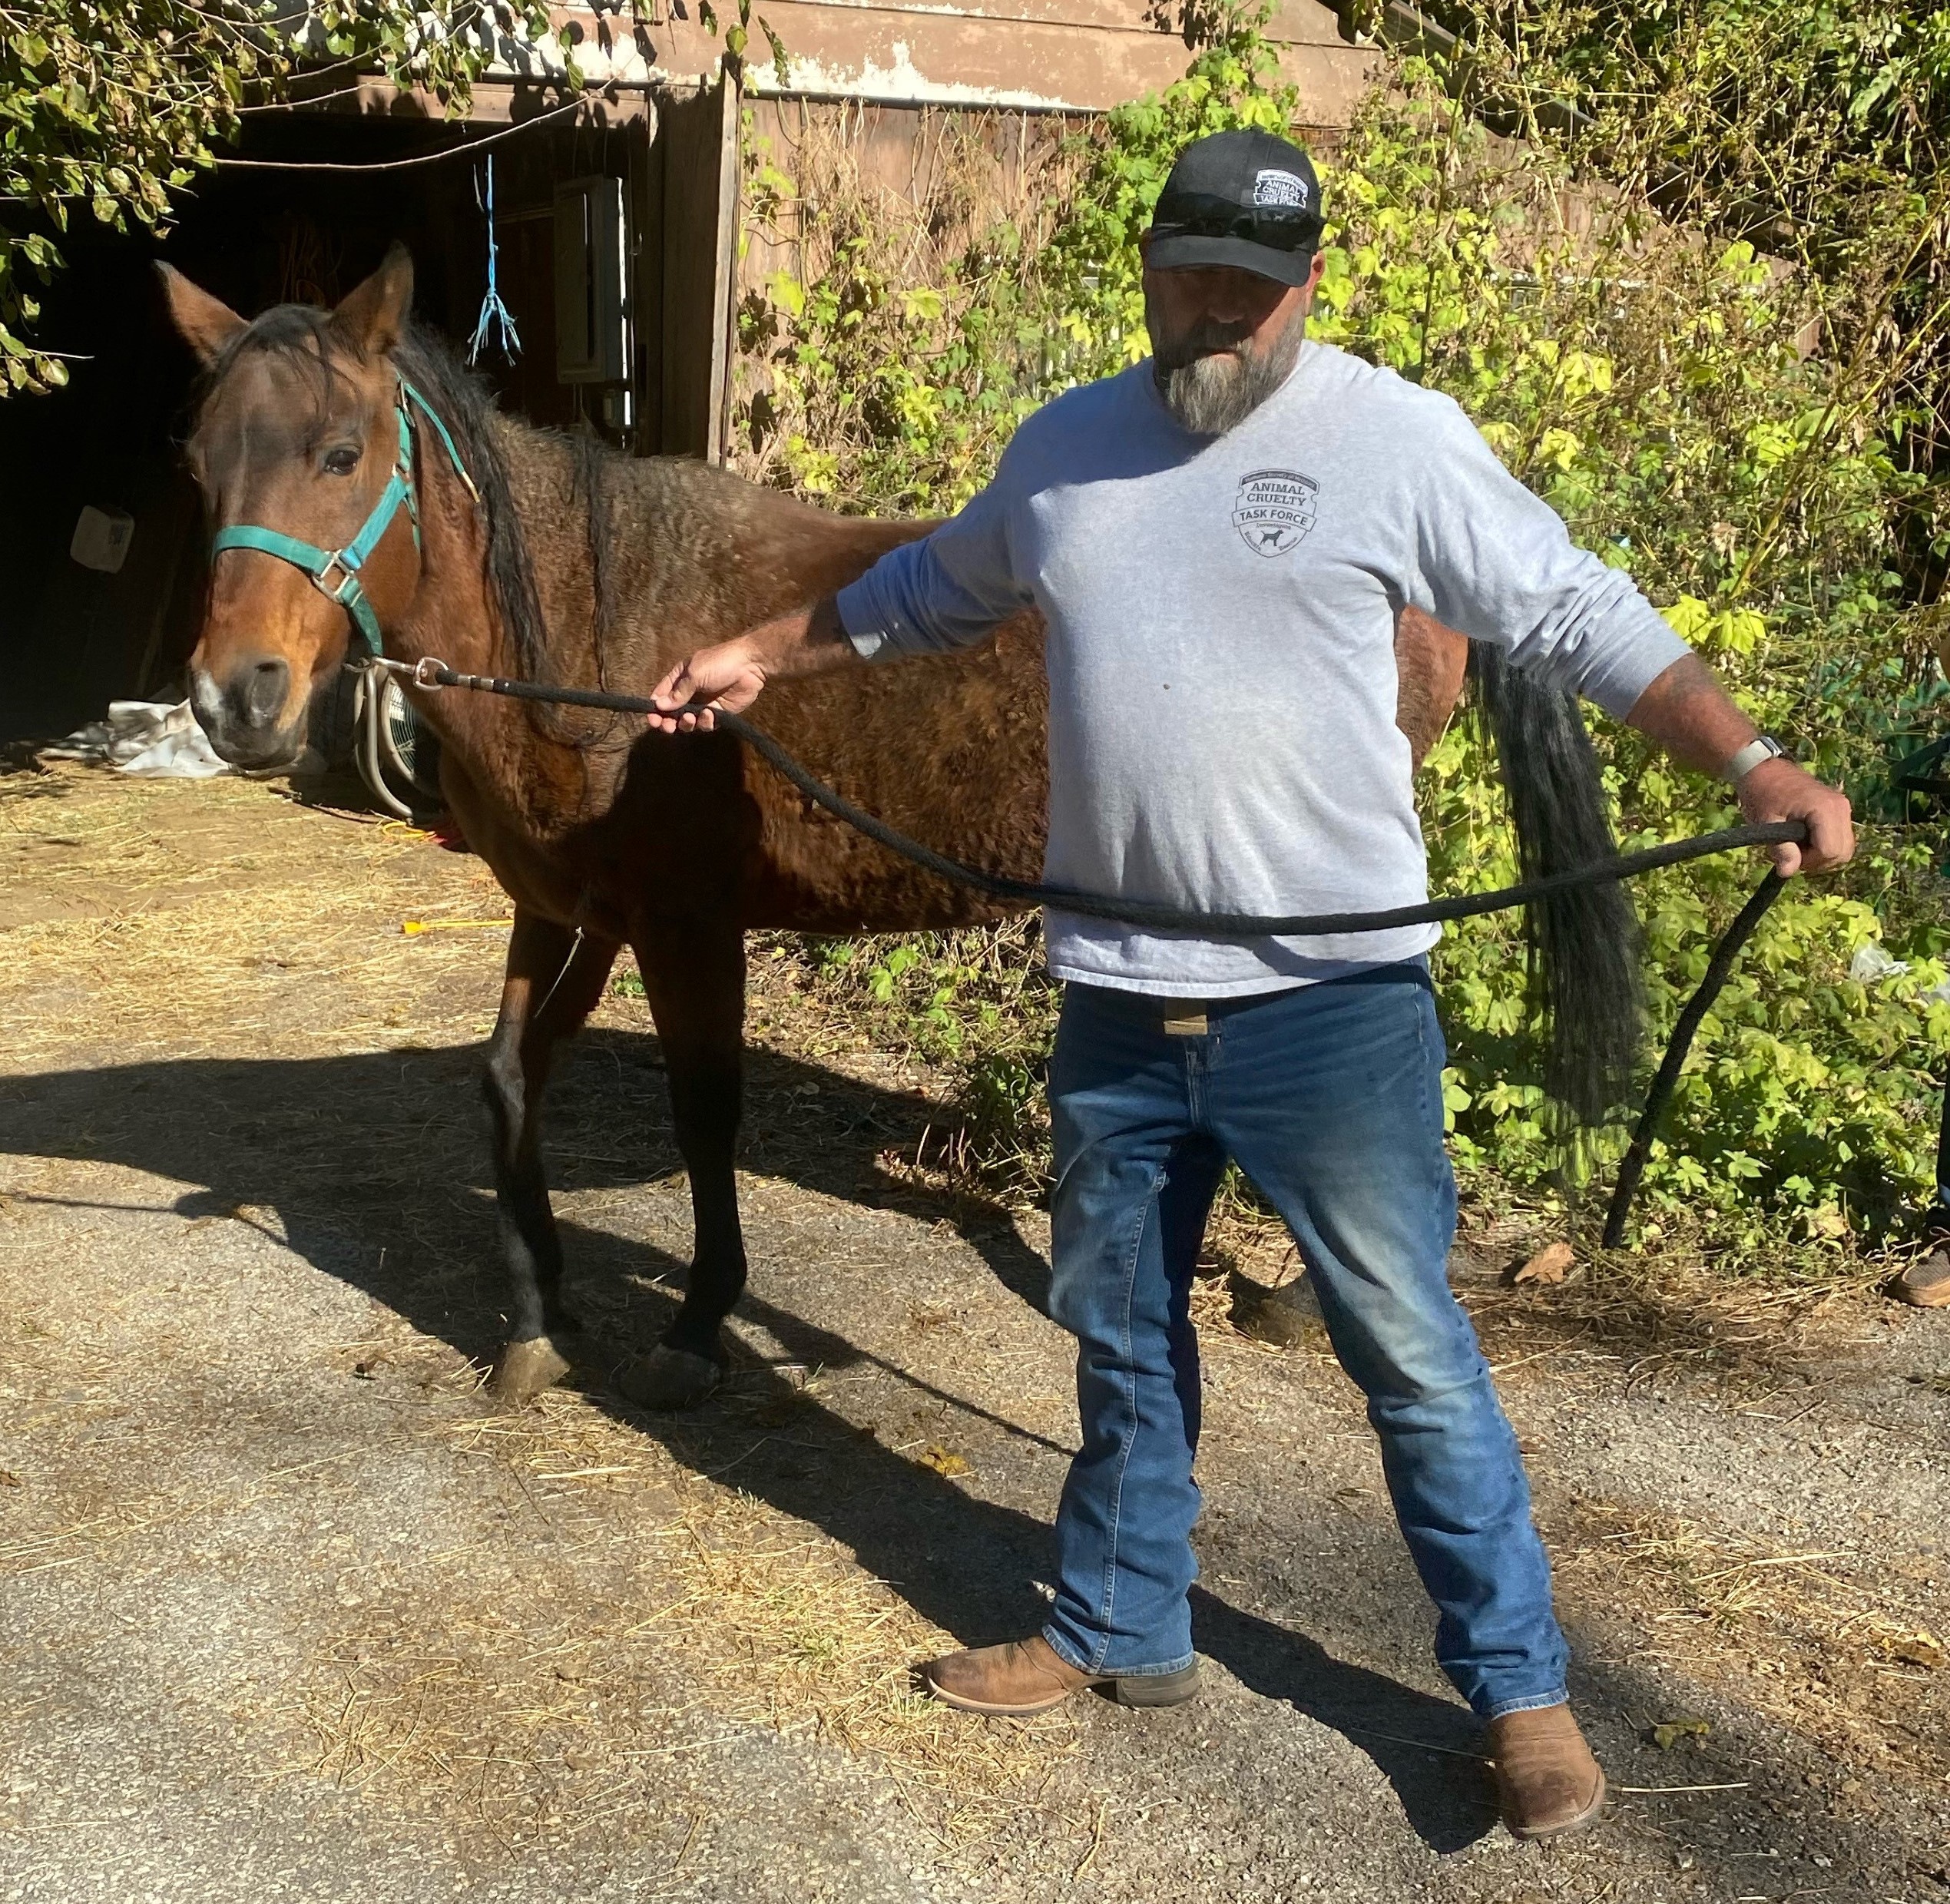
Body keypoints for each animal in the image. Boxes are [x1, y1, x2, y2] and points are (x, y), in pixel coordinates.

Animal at [152, 246, 1622, 1404]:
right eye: (200, 461)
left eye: (340, 453)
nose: (236, 698)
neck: (588, 632)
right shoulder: (567, 911)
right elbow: (511, 1080)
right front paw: (536, 1316)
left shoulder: (685, 929)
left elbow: (702, 1114)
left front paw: (696, 1323)